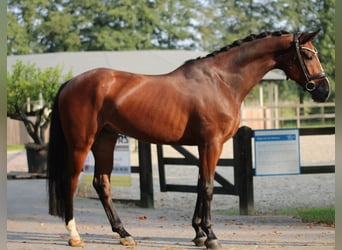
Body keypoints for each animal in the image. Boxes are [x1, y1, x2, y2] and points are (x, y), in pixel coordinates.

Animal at [46, 30, 330, 249]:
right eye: (307, 55)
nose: (324, 90)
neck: (222, 81)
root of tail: (70, 82)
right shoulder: (212, 144)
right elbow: (208, 187)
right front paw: (211, 236)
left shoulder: (205, 146)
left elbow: (199, 185)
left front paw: (198, 233)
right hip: (81, 144)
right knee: (71, 181)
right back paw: (75, 235)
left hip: (106, 139)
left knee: (102, 183)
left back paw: (124, 234)